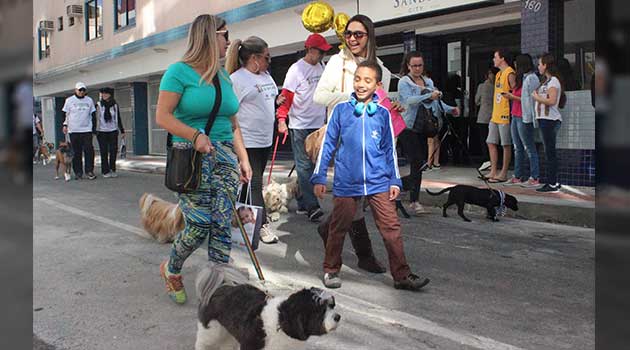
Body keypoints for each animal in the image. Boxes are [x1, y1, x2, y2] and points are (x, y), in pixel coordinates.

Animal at [196, 264, 340, 348]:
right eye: (320, 311)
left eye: (332, 305)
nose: (338, 317)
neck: (281, 322)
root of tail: (221, 286)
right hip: (210, 330)